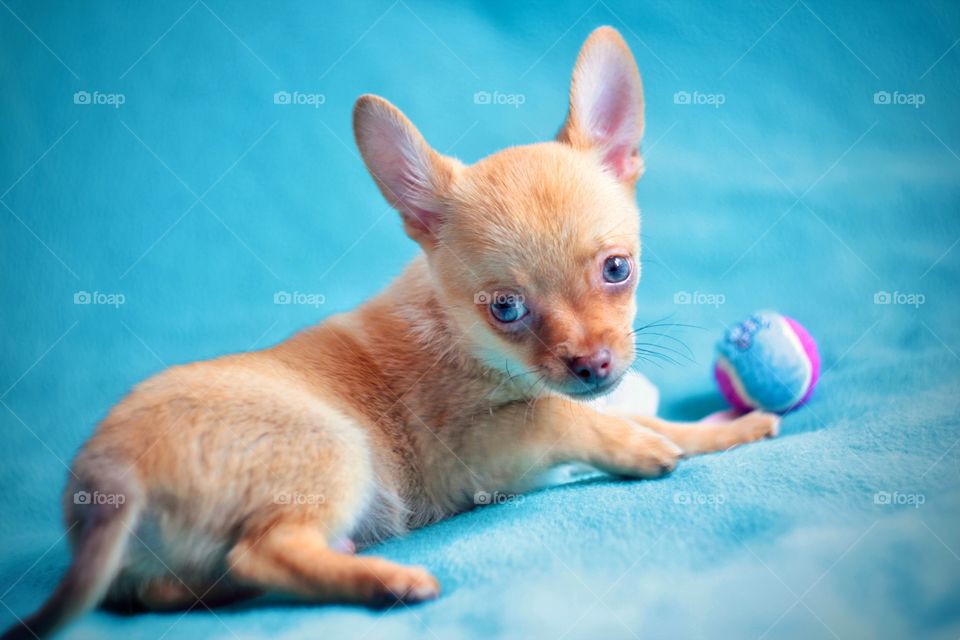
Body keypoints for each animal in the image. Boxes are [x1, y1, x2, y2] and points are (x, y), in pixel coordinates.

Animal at [1, 26, 780, 640]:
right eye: (505, 310)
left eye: (618, 269)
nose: (593, 364)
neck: (460, 335)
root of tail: (110, 476)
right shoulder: (483, 452)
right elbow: (566, 416)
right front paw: (642, 446)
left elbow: (652, 422)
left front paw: (726, 428)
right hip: (336, 451)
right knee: (264, 548)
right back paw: (386, 581)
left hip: (166, 564)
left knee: (171, 588)